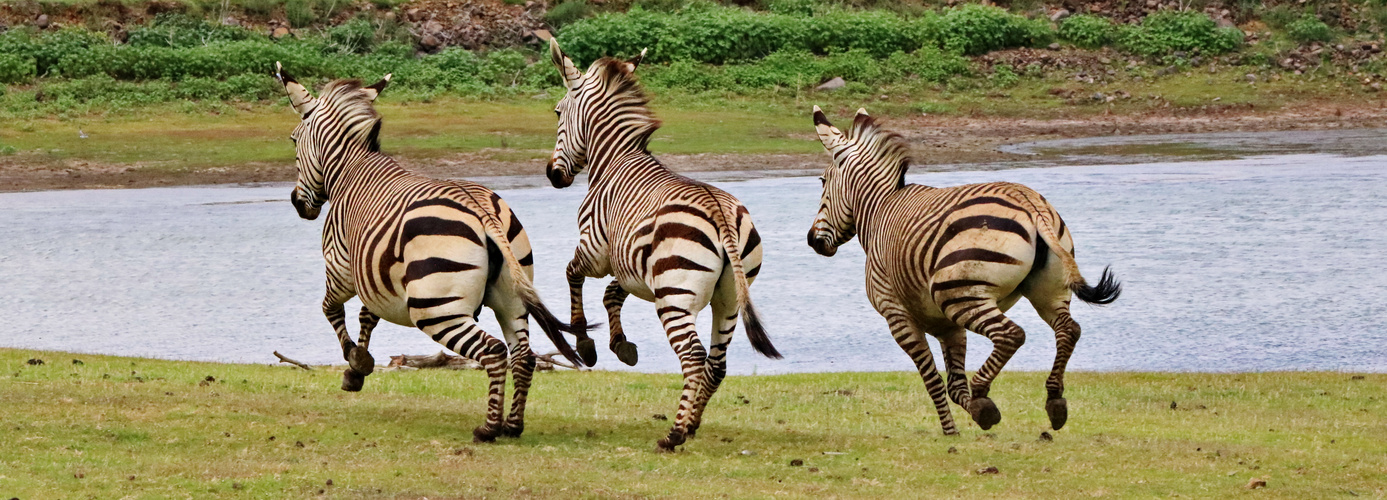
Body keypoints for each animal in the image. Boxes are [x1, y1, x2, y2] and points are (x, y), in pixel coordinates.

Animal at [276, 61, 585, 441]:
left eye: (293, 139)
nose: (297, 203)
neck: (350, 170)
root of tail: (481, 207)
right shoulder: (377, 273)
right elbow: (367, 315)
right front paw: (359, 367)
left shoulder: (341, 269)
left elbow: (331, 309)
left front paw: (354, 362)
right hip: (512, 297)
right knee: (523, 357)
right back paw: (513, 426)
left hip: (436, 308)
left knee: (493, 351)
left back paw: (488, 428)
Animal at [540, 40, 782, 449]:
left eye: (558, 111)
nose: (553, 175)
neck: (615, 160)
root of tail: (719, 213)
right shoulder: (630, 265)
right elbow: (611, 295)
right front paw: (621, 346)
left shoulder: (594, 249)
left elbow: (573, 275)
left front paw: (585, 343)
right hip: (730, 298)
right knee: (716, 363)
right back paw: (693, 422)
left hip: (675, 296)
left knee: (694, 356)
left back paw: (675, 433)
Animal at [810, 106, 1120, 433]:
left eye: (822, 181)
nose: (811, 240)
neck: (879, 209)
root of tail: (1027, 200)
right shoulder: (949, 327)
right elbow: (954, 386)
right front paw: (973, 413)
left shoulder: (897, 316)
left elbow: (933, 381)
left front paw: (954, 429)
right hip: (1048, 288)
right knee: (1068, 329)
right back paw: (1054, 401)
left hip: (960, 296)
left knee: (1012, 334)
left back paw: (984, 393)